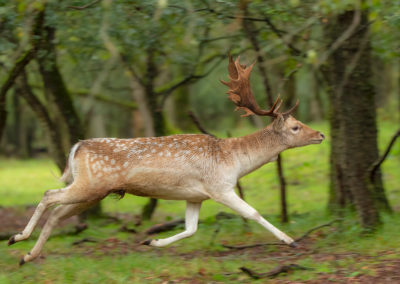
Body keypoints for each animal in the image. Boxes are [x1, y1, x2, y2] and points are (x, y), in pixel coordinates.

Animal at [7, 56, 324, 266]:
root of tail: (77, 146)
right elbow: (254, 213)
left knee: (58, 213)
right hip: (89, 184)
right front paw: (291, 240)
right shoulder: (219, 187)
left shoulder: (196, 196)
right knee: (49, 195)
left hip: (92, 192)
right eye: (295, 126)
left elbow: (191, 228)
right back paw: (16, 238)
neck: (234, 160)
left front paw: (152, 241)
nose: (321, 134)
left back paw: (27, 255)